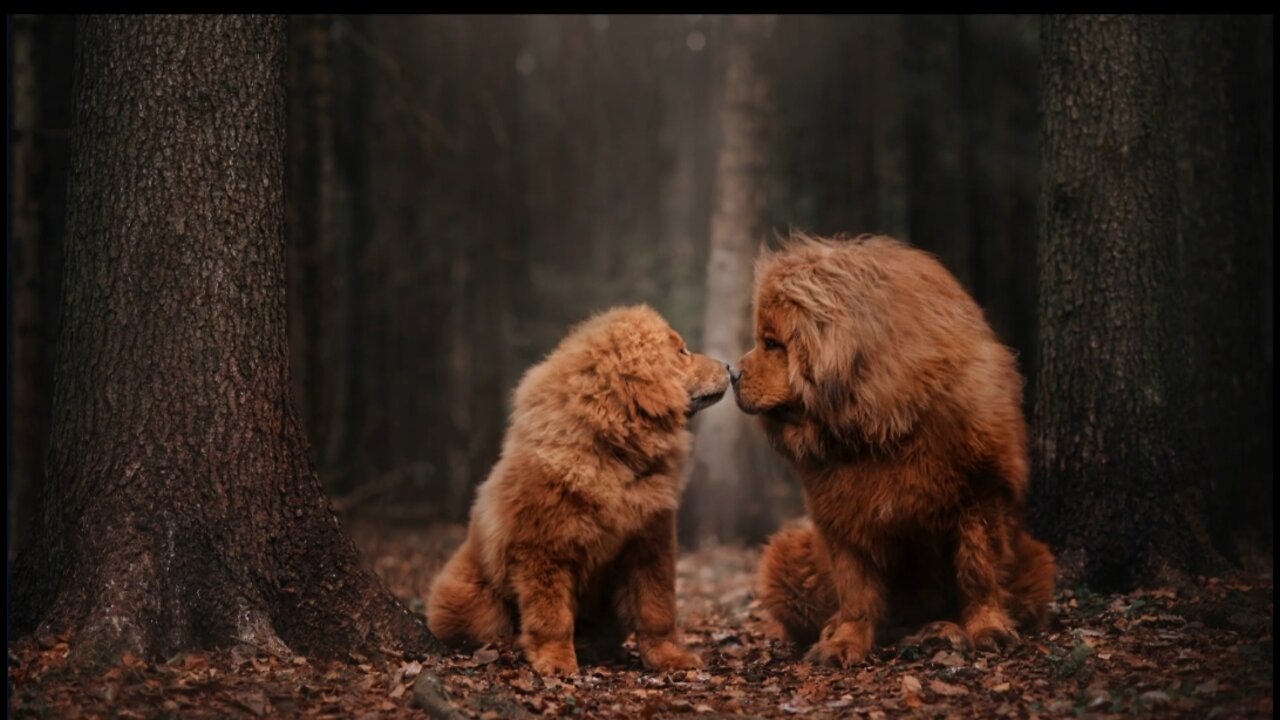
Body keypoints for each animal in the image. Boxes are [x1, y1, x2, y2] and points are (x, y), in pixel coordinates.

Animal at [427, 302, 732, 671]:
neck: (615, 455)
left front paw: (670, 657)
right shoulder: (544, 548)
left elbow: (656, 609)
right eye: (682, 352)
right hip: (471, 597)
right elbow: (551, 615)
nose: (731, 367)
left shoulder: (650, 543)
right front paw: (556, 662)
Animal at [737, 233, 1054, 666]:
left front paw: (989, 629)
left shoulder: (980, 495)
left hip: (1038, 560)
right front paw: (843, 642)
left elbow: (977, 572)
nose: (731, 373)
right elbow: (855, 589)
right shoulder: (842, 515)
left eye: (772, 343)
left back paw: (938, 632)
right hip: (783, 555)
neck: (880, 424)